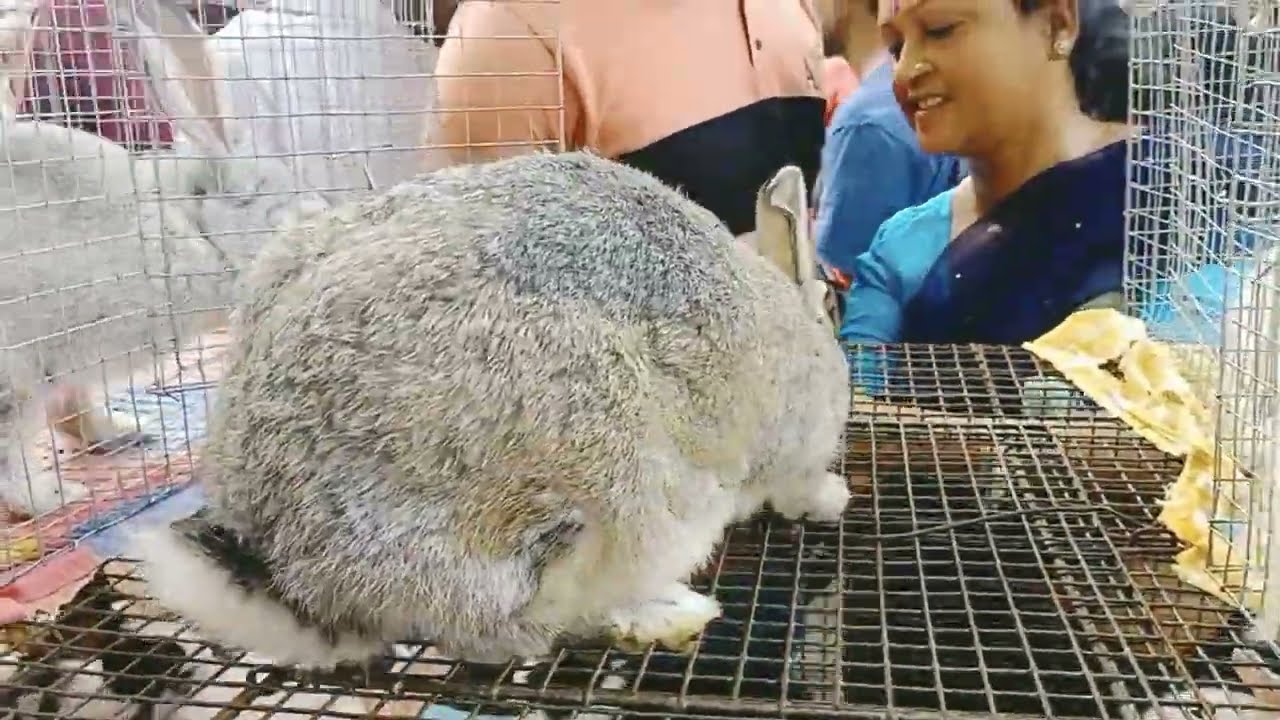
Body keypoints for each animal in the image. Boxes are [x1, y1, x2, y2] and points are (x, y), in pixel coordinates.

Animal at [134, 151, 852, 672]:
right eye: (832, 306)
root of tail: (307, 572)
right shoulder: (785, 454)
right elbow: (797, 485)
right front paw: (834, 497)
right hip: (601, 488)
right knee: (520, 629)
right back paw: (670, 611)